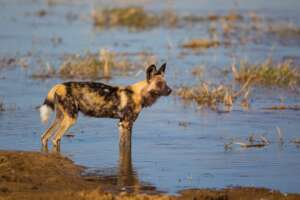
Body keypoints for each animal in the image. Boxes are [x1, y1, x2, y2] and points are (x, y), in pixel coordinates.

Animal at [39, 63, 171, 149]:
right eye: (159, 84)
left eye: (166, 83)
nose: (170, 90)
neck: (139, 94)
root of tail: (59, 85)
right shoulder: (127, 123)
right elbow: (127, 147)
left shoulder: (121, 124)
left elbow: (123, 146)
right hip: (70, 119)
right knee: (55, 139)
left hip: (61, 117)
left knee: (44, 137)